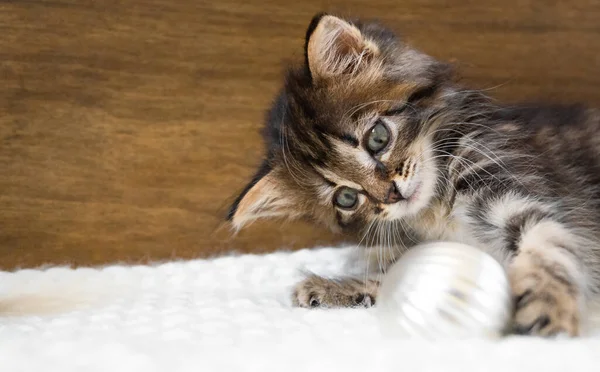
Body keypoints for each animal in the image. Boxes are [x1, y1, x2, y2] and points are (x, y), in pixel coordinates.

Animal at [227, 12, 600, 338]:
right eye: (346, 197)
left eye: (378, 138)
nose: (391, 194)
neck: (437, 210)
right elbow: (397, 276)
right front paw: (333, 287)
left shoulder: (520, 190)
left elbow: (549, 245)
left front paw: (547, 307)